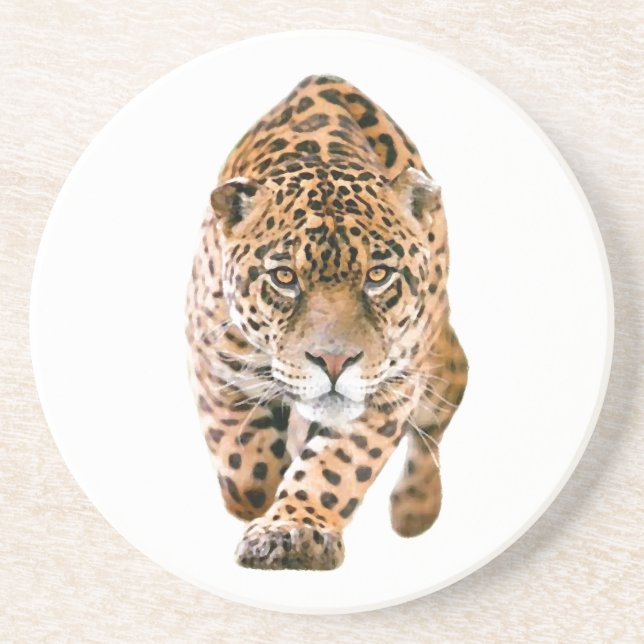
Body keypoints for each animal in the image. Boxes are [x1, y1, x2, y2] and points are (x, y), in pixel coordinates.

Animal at [185, 74, 468, 570]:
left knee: (441, 411)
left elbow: (336, 466)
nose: (334, 362)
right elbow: (246, 473)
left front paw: (294, 531)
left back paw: (415, 507)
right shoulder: (216, 363)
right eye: (284, 277)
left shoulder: (390, 388)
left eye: (378, 276)